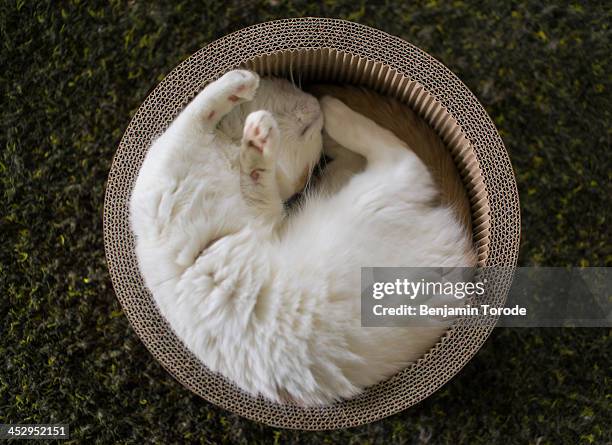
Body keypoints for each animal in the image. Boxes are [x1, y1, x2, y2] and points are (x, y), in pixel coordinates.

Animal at [129, 70, 476, 406]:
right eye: (310, 137)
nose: (314, 109)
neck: (226, 148)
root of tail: (461, 260)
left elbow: (202, 124)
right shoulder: (171, 171)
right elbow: (197, 116)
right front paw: (244, 100)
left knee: (398, 159)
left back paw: (333, 117)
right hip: (373, 194)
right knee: (403, 159)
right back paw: (335, 113)